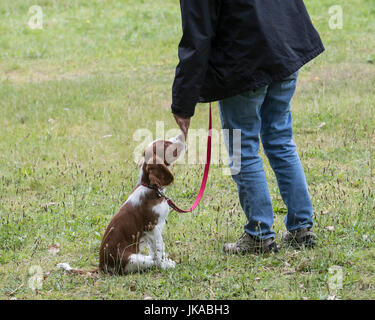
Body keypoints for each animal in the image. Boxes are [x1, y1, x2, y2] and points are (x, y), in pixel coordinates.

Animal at [57, 132, 187, 276]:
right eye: (166, 144)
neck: (151, 188)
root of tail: (102, 267)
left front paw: (166, 262)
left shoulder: (152, 232)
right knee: (150, 262)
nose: (182, 135)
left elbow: (155, 249)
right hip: (132, 259)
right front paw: (164, 266)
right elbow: (159, 250)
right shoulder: (152, 227)